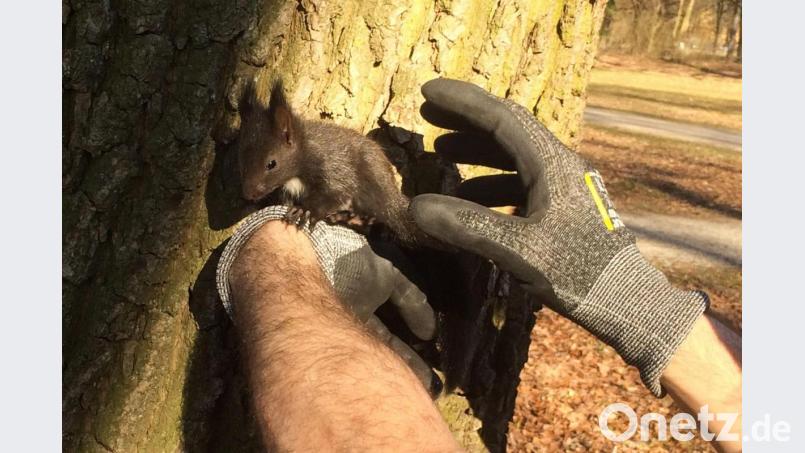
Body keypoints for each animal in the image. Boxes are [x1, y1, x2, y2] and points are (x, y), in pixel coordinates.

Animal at [237, 80, 423, 246]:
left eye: (272, 164)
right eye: (241, 158)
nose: (247, 194)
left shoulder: (335, 168)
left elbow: (334, 193)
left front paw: (305, 210)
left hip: (376, 189)